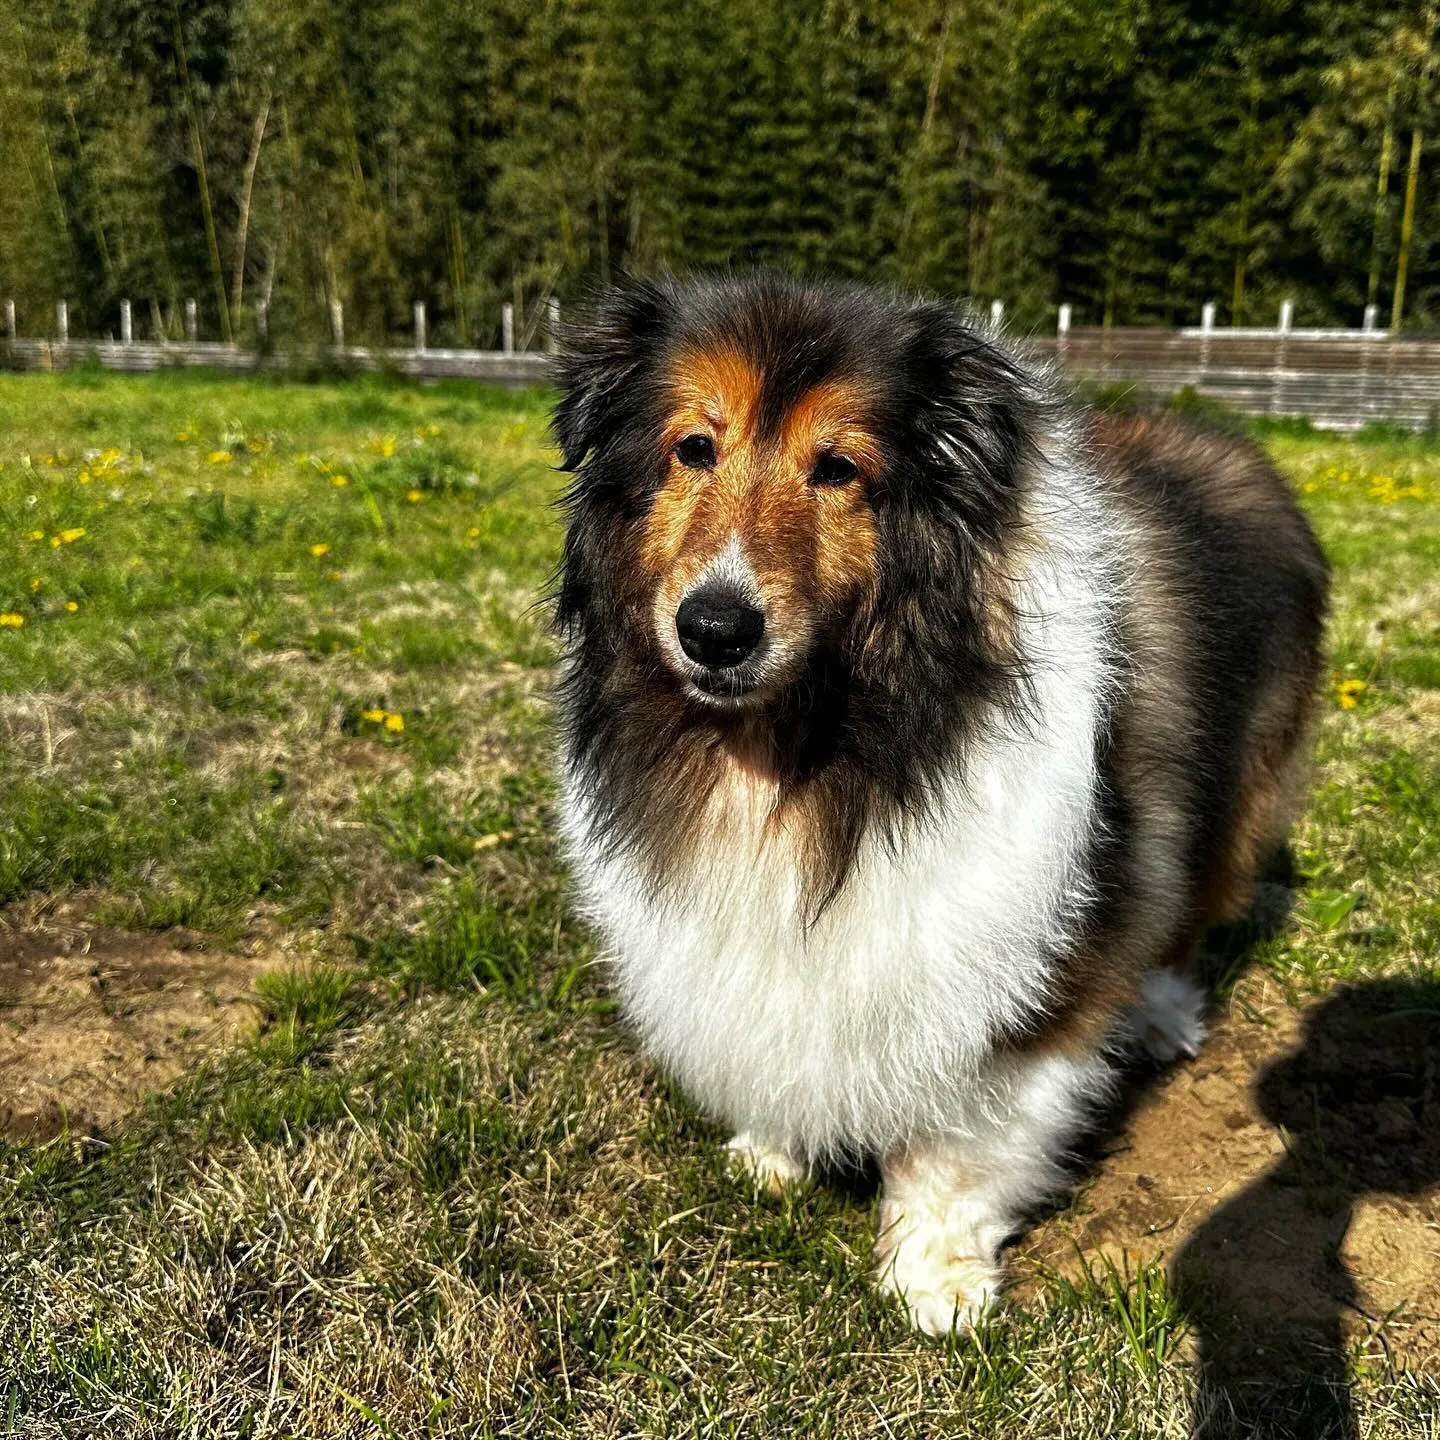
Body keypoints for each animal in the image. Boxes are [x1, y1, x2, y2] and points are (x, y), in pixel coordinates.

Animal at [547, 275, 1324, 1330]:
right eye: (693, 447)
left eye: (839, 467)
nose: (714, 629)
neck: (804, 747)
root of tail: (1230, 437)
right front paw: (773, 1151)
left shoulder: (1022, 958)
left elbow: (965, 1144)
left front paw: (938, 1280)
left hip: (1236, 791)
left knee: (1185, 914)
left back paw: (1160, 1018)